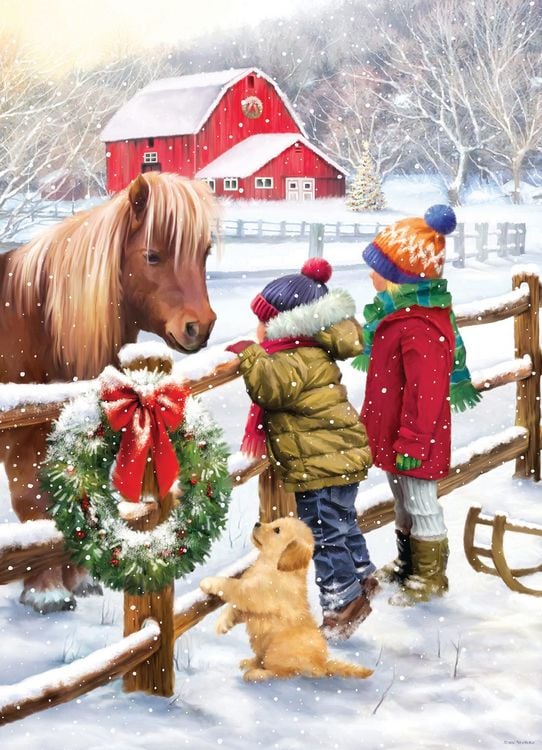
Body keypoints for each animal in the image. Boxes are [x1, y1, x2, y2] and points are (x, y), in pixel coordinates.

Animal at [0, 172, 217, 613]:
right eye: (152, 256)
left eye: (204, 253)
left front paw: (79, 580)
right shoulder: (20, 440)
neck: (33, 320)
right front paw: (46, 592)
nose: (199, 327)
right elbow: (34, 505)